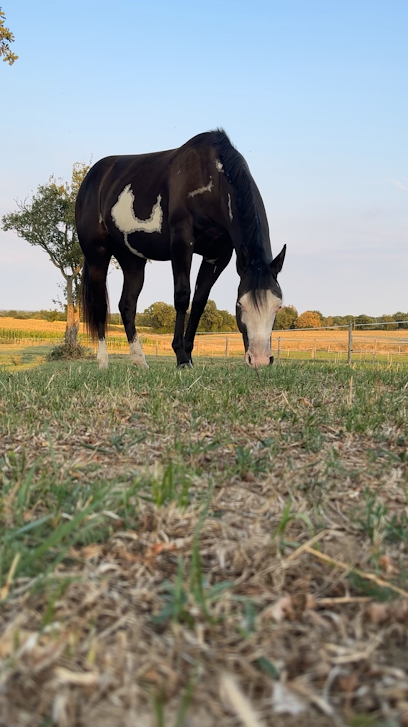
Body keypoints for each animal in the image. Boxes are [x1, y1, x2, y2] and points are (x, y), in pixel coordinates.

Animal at [75, 129, 286, 370]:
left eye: (278, 306)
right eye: (240, 304)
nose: (260, 358)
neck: (212, 178)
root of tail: (91, 178)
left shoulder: (218, 255)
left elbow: (199, 302)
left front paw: (189, 354)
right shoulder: (182, 242)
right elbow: (182, 296)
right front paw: (181, 357)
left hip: (132, 261)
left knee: (127, 306)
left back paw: (140, 361)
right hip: (97, 255)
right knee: (101, 306)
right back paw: (103, 361)